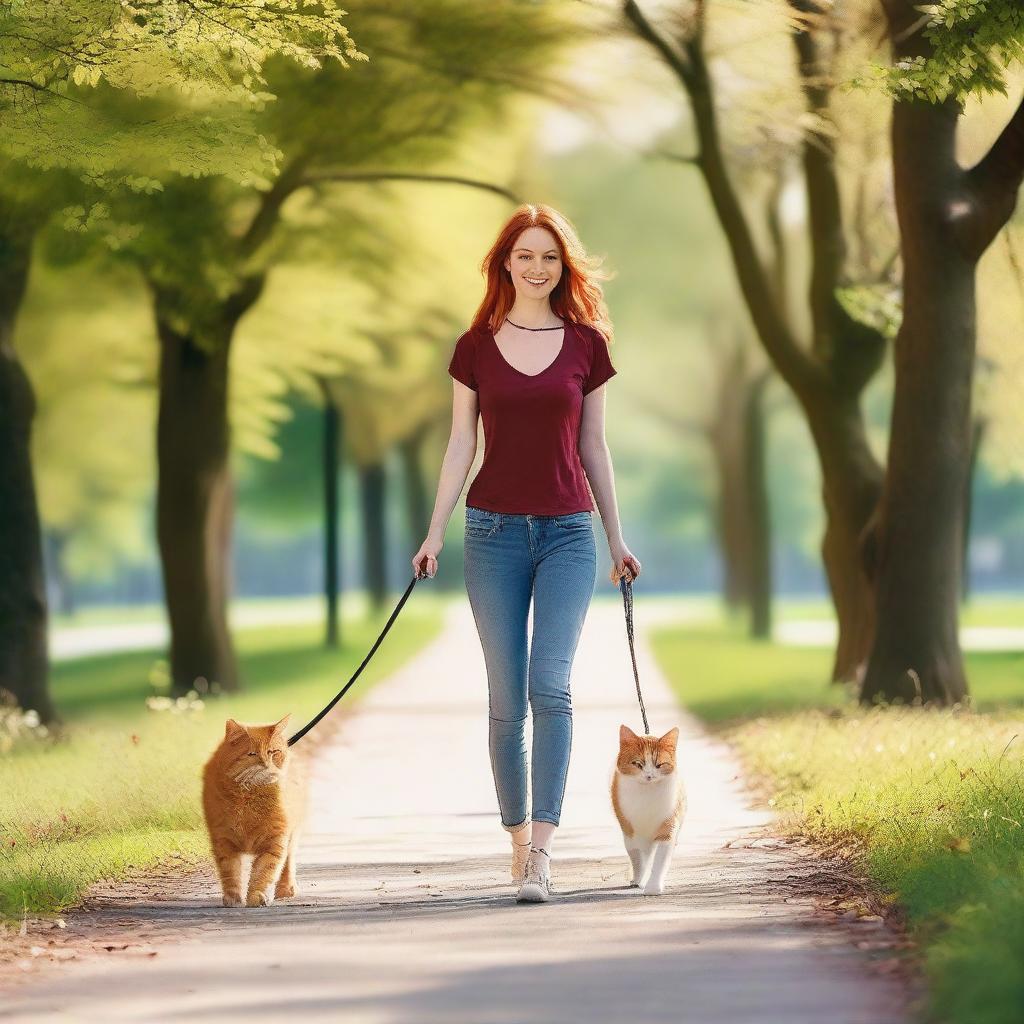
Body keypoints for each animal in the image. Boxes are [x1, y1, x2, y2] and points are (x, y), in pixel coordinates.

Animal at [200, 716, 307, 909]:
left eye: (273, 752)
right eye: (252, 754)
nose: (265, 764)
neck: (248, 796)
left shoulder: (275, 841)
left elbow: (264, 872)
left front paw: (257, 896)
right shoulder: (223, 840)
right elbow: (230, 872)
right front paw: (233, 898)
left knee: (288, 861)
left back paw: (286, 889)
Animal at [610, 720, 684, 897]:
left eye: (659, 764)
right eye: (638, 764)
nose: (649, 776)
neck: (647, 793)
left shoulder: (667, 827)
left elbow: (660, 860)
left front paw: (653, 887)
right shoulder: (630, 831)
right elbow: (638, 858)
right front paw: (639, 879)